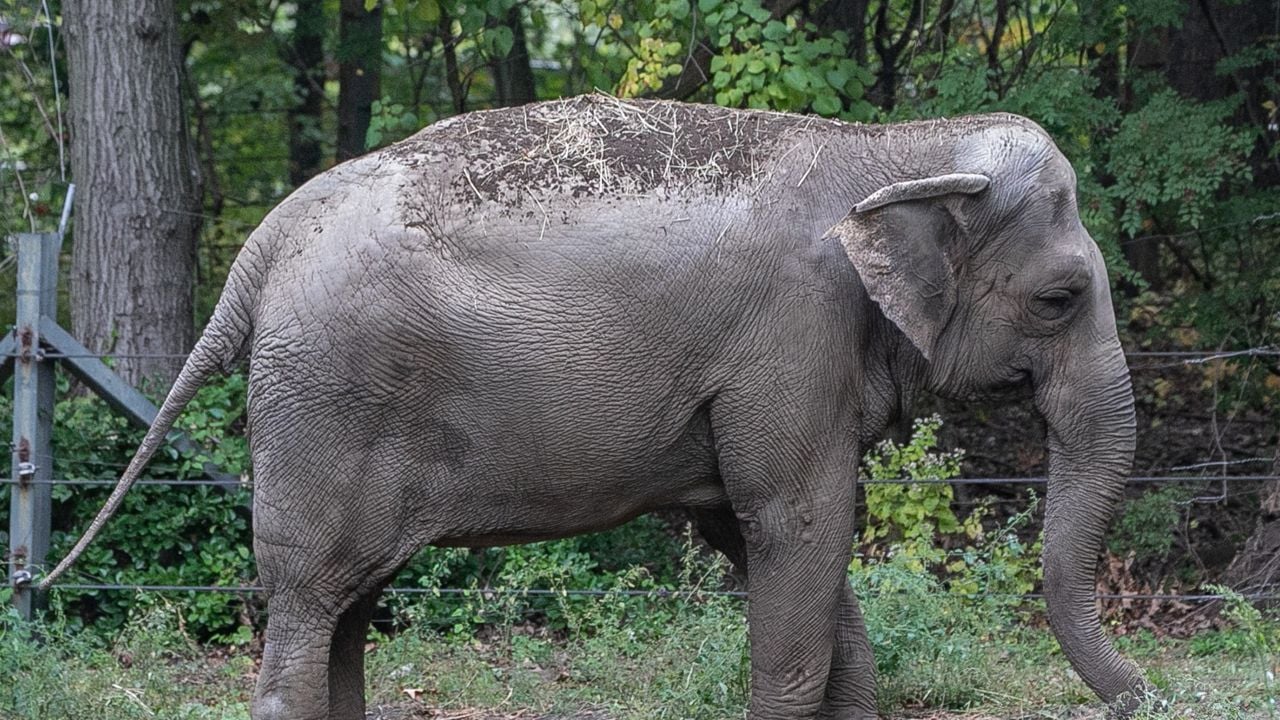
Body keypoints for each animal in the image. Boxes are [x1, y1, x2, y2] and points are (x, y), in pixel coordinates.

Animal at [43, 94, 1149, 719]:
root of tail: (264, 244)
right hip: (326, 402)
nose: (1144, 696)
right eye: (1060, 298)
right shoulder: (790, 339)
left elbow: (775, 537)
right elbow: (796, 524)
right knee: (311, 599)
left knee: (345, 611)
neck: (892, 151)